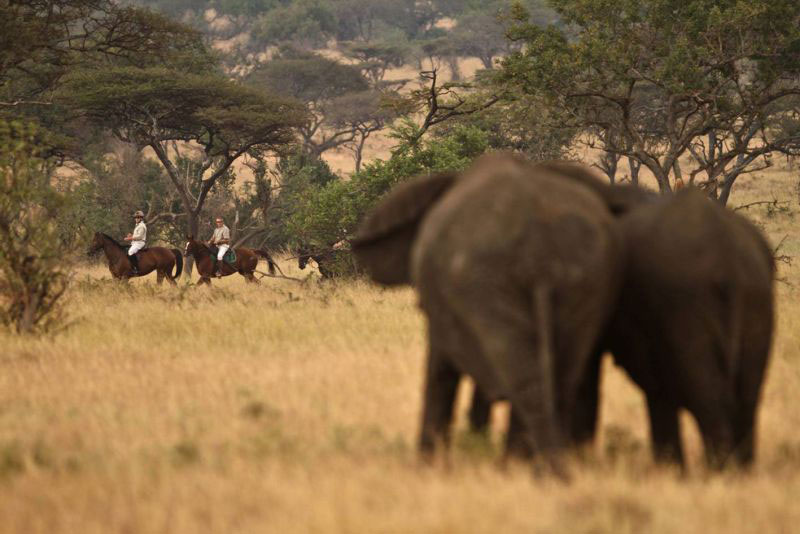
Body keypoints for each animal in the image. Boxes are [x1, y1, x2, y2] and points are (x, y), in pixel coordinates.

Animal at [354, 153, 624, 476]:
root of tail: (540, 251)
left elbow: (441, 371)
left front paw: (426, 468)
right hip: (584, 281)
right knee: (558, 379)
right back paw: (539, 469)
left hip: (485, 282)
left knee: (525, 378)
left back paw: (524, 468)